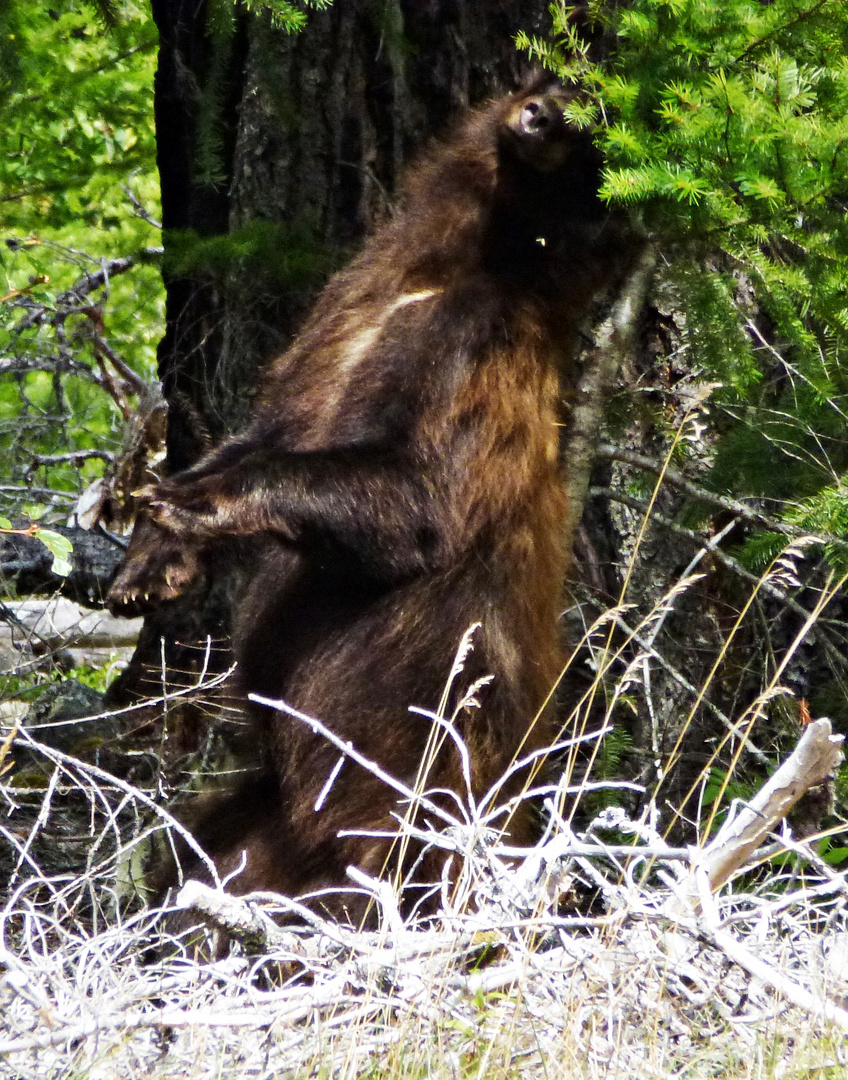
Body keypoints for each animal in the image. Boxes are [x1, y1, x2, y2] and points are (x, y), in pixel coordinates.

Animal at [107, 78, 622, 920]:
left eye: (591, 121)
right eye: (559, 82)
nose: (541, 110)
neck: (458, 259)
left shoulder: (473, 360)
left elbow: (418, 498)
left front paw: (199, 500)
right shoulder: (335, 327)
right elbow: (268, 425)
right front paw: (150, 559)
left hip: (399, 806)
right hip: (271, 811)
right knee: (209, 851)